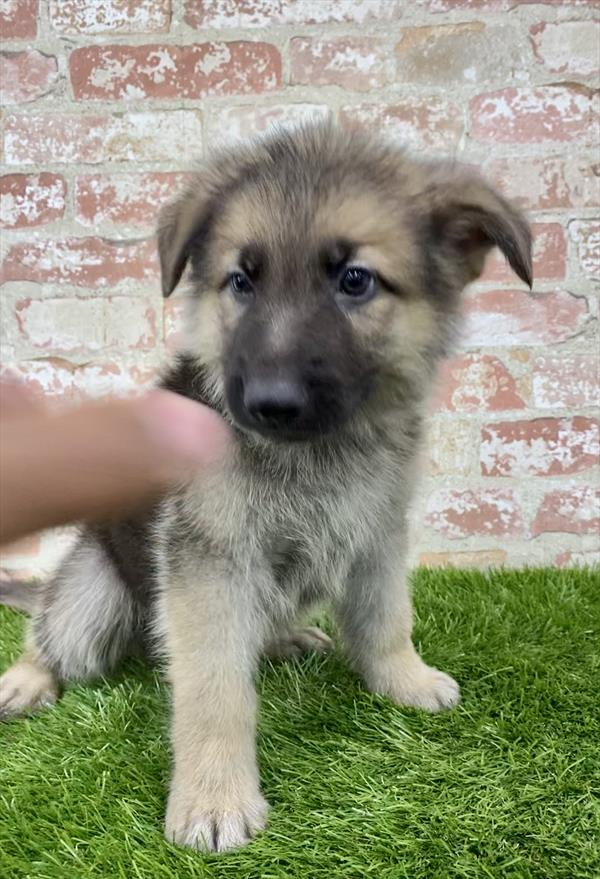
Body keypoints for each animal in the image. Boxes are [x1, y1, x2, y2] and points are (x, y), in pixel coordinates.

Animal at [0, 124, 532, 852]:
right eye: (241, 281)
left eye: (355, 280)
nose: (270, 404)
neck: (320, 452)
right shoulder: (210, 568)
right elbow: (215, 690)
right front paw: (214, 795)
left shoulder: (378, 535)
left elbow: (387, 617)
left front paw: (403, 678)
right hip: (94, 596)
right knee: (56, 631)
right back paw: (29, 675)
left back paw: (286, 639)